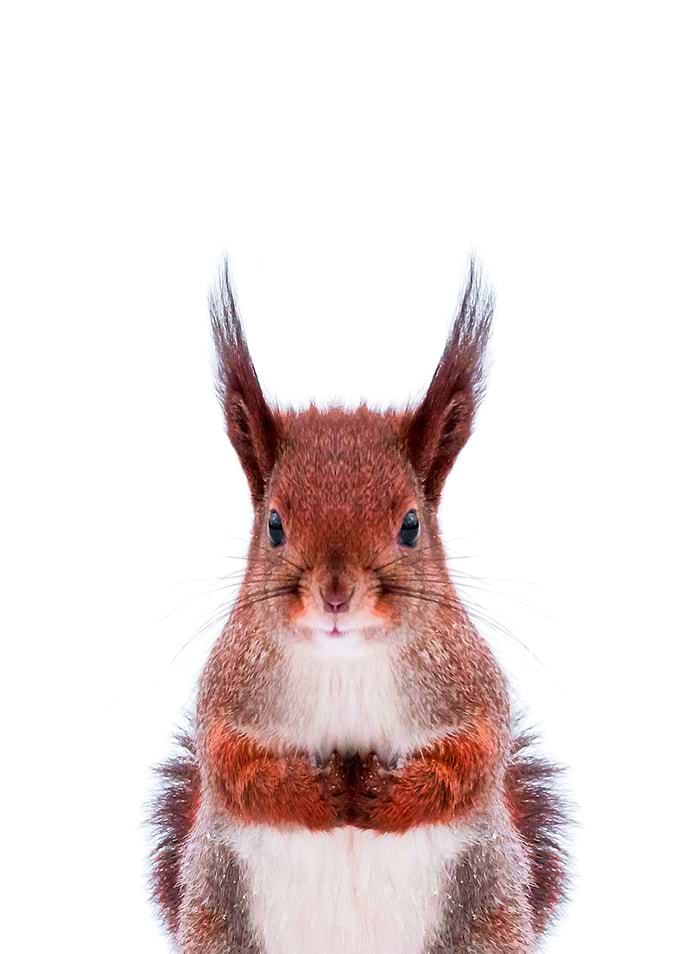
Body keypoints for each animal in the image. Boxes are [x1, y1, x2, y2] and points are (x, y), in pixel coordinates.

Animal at [148, 260, 570, 954]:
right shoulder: (229, 690)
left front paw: (380, 797)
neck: (343, 661)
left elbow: (477, 755)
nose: (336, 594)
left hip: (485, 904)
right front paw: (320, 795)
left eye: (411, 525)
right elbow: (232, 764)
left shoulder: (467, 680)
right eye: (274, 525)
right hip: (216, 906)